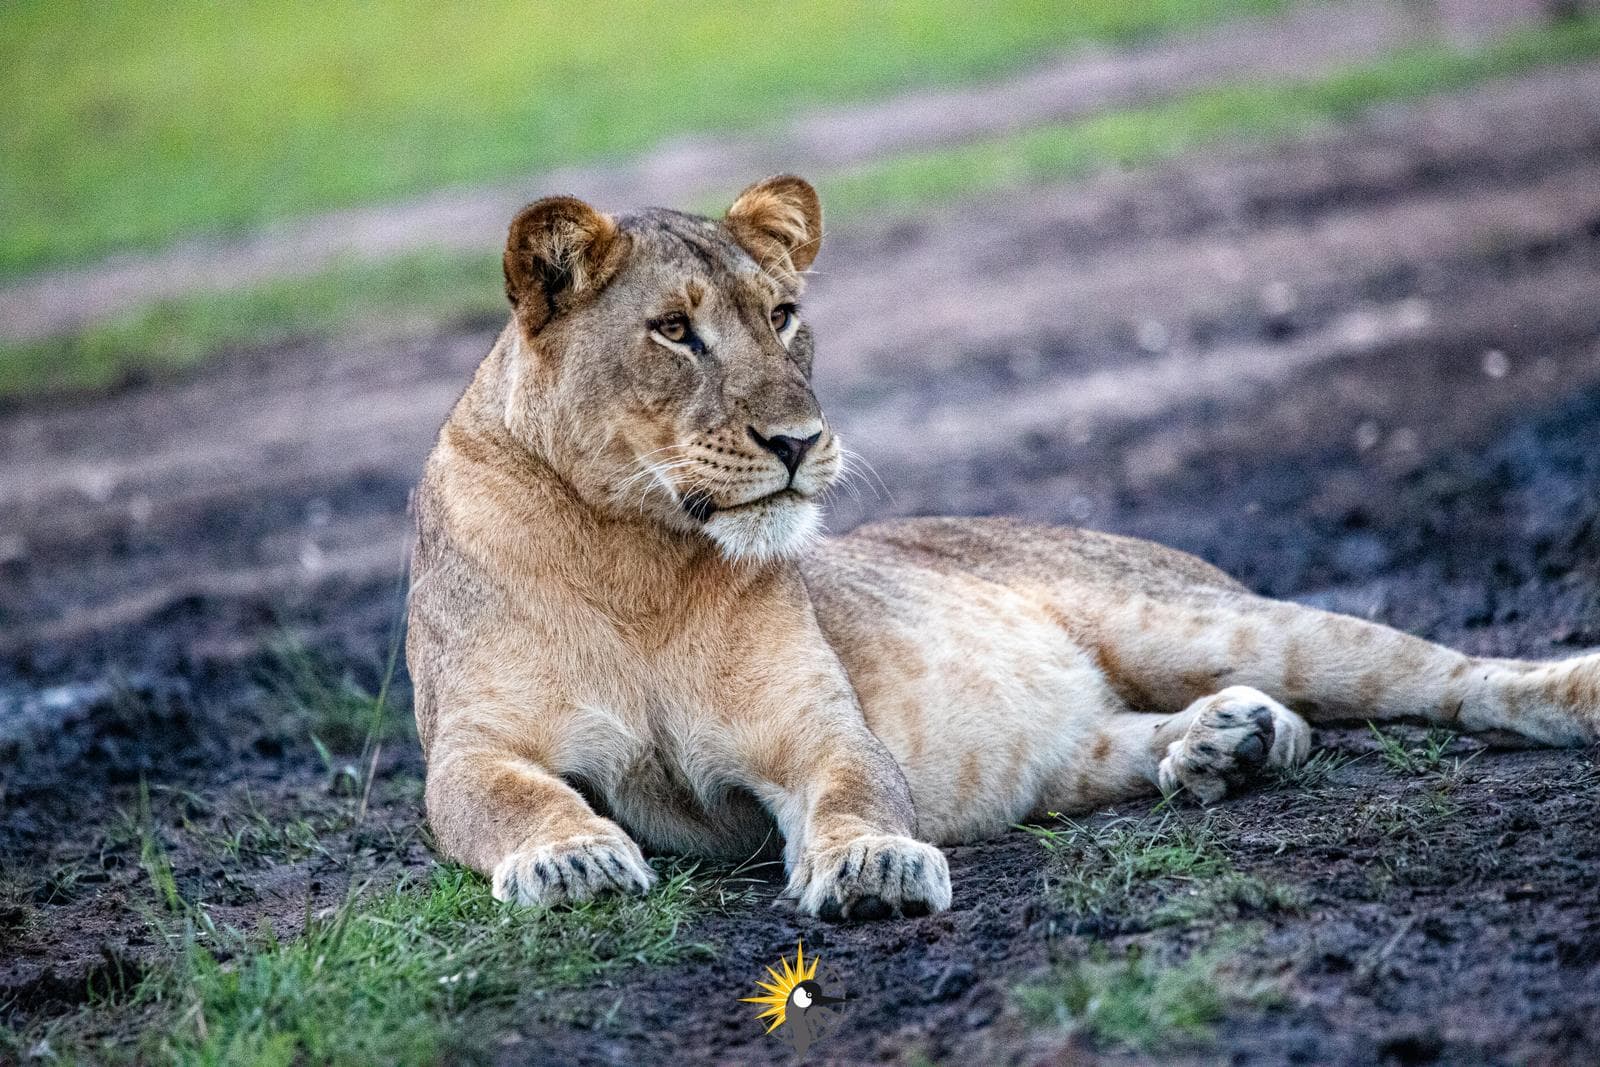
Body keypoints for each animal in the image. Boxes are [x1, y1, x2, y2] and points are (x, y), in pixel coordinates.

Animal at [406, 175, 1600, 921]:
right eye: (672, 331)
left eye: (784, 313)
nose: (798, 441)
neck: (639, 560)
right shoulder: (470, 745)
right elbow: (510, 798)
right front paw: (569, 857)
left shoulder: (817, 727)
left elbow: (855, 789)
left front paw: (875, 864)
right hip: (1070, 747)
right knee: (1148, 732)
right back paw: (1228, 743)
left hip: (1196, 618)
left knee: (1442, 672)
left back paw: (1562, 695)